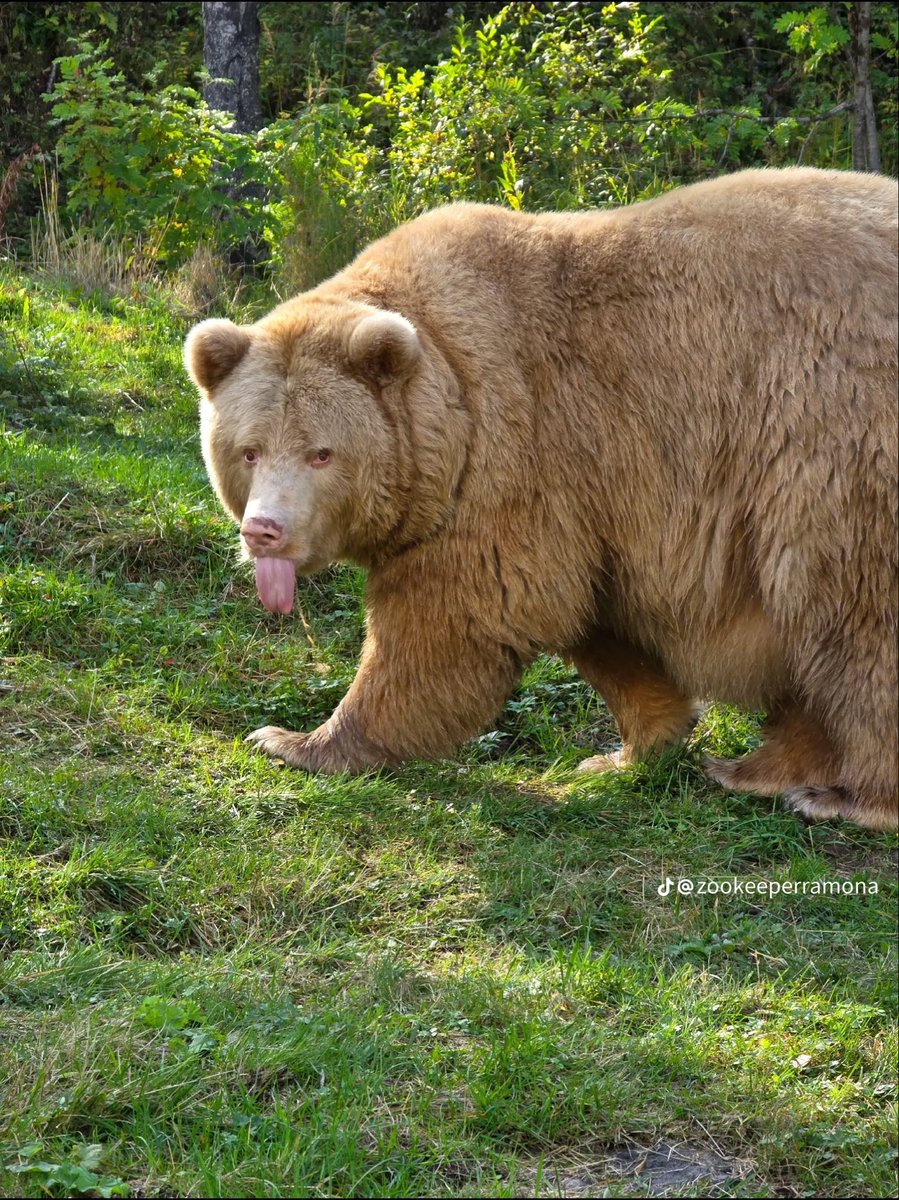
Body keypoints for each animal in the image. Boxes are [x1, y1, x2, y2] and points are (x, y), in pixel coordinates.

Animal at [184, 166, 898, 832]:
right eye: (249, 450)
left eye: (321, 453)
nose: (265, 530)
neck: (445, 398)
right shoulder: (591, 498)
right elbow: (590, 618)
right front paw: (631, 747)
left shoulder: (513, 445)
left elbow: (452, 619)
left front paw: (293, 740)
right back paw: (755, 769)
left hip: (829, 436)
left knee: (851, 612)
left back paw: (848, 797)